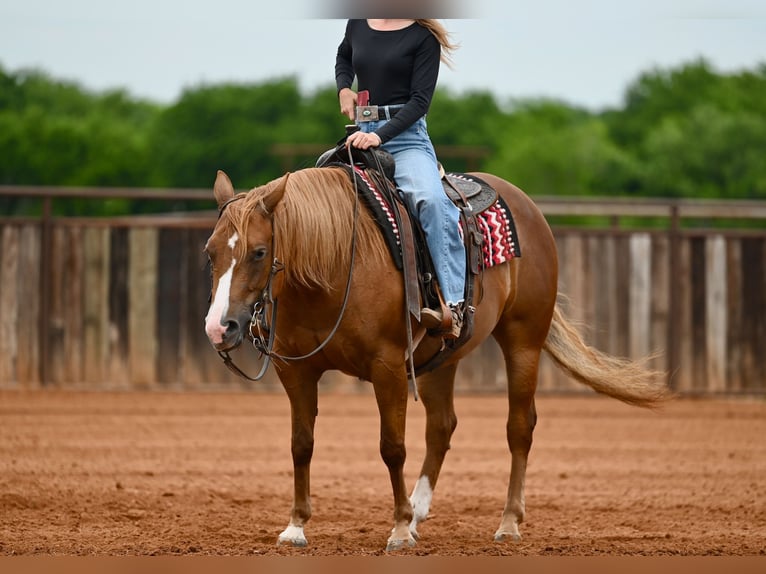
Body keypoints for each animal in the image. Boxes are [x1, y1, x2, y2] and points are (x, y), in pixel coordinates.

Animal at [203, 166, 669, 551]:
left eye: (259, 251)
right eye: (210, 251)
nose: (219, 327)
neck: (334, 267)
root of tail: (527, 207)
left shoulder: (388, 366)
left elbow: (392, 447)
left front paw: (397, 529)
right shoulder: (296, 370)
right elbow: (301, 445)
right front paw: (296, 526)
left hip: (523, 339)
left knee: (520, 428)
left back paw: (507, 522)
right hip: (441, 360)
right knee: (442, 426)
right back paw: (419, 511)